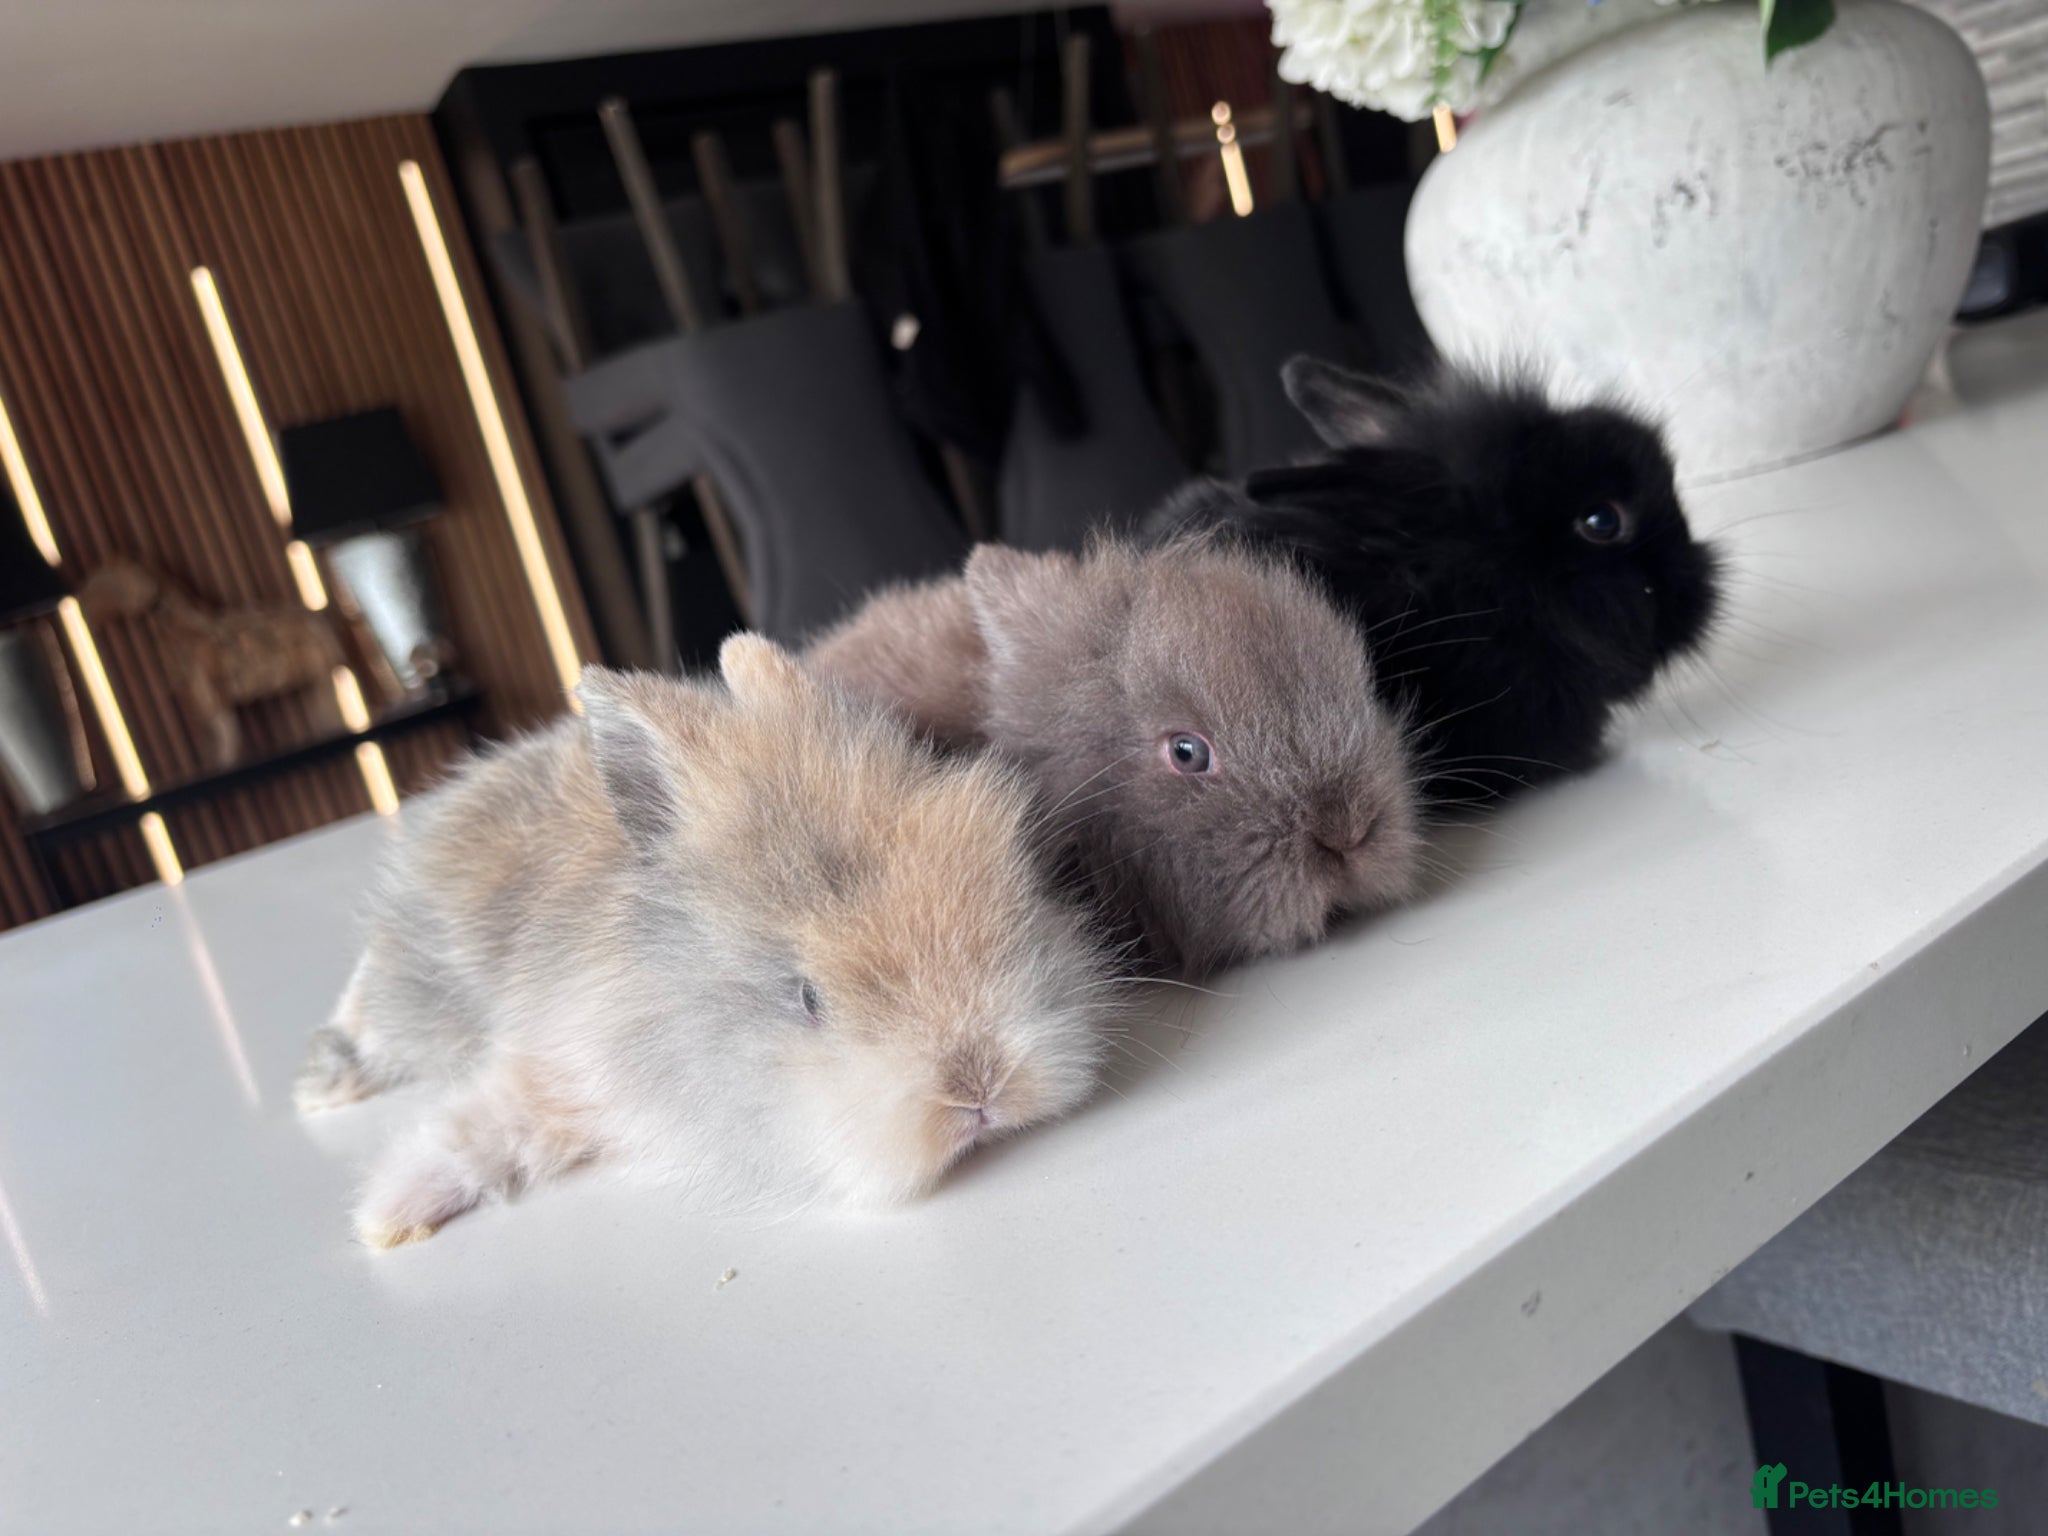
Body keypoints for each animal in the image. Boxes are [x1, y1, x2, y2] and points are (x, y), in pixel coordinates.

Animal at [293, 636, 1116, 1247]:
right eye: (807, 998)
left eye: (1018, 874)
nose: (981, 1090)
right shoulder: (560, 1059)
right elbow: (486, 1127)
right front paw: (386, 1216)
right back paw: (319, 1089)